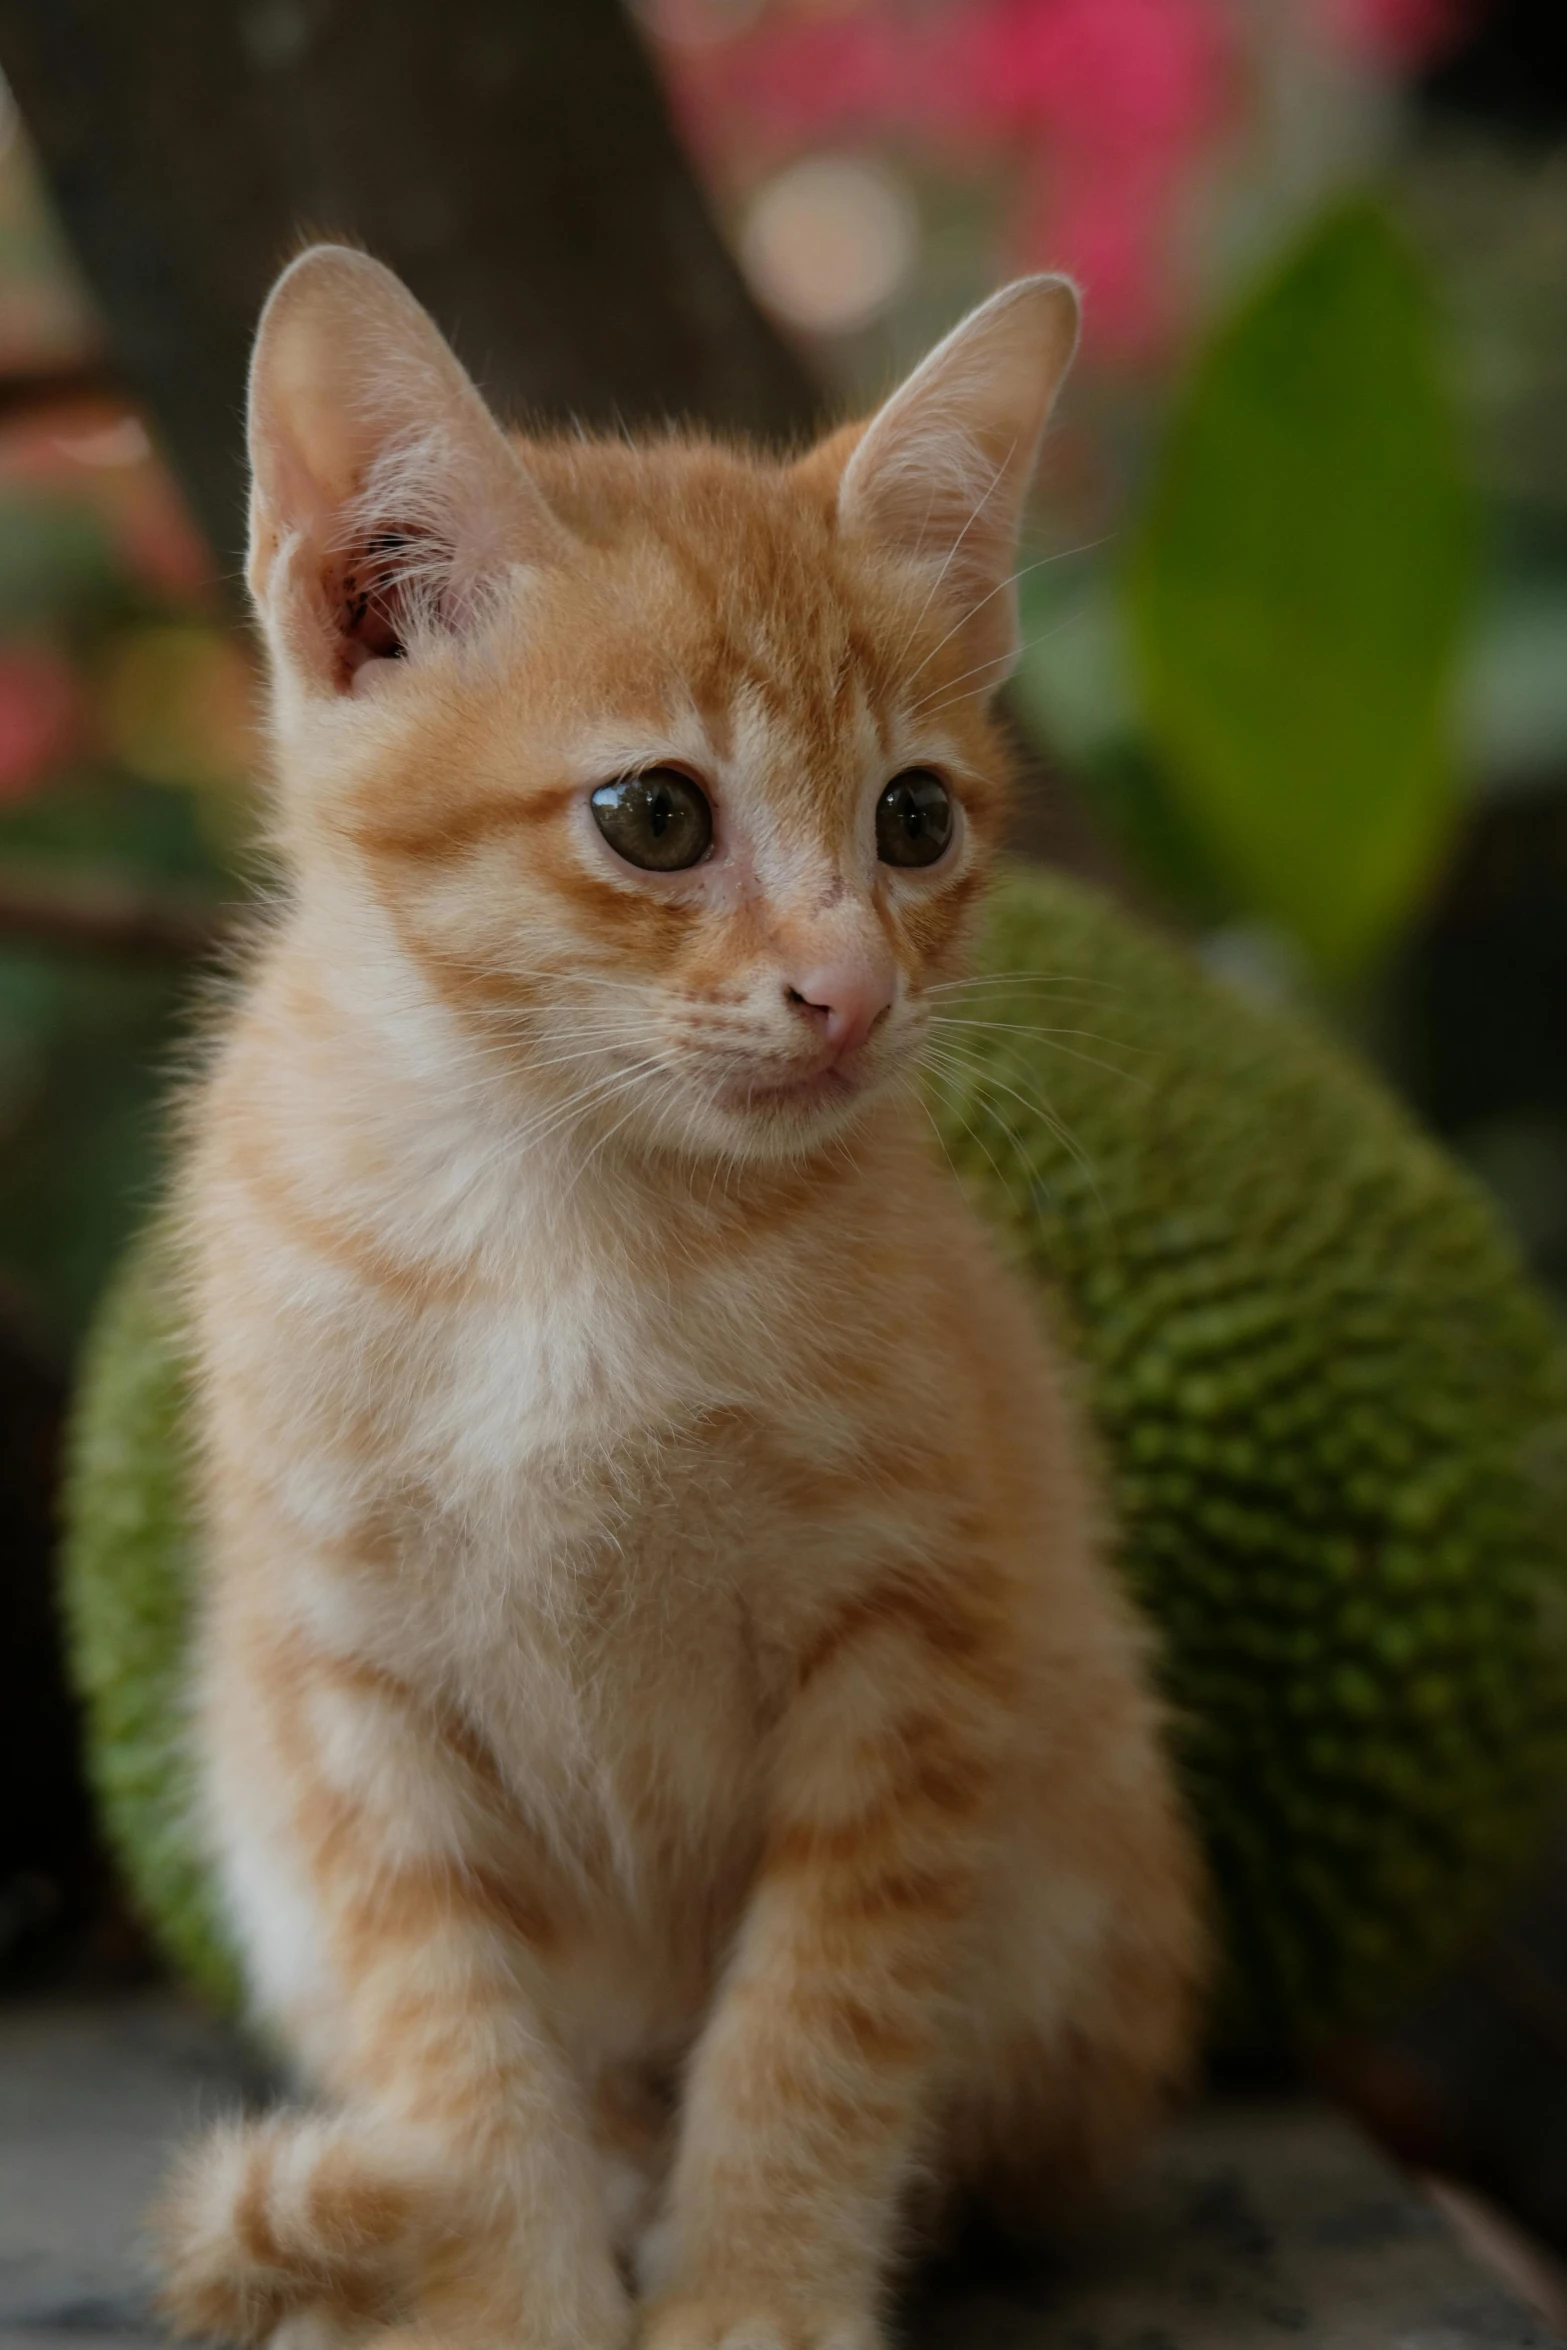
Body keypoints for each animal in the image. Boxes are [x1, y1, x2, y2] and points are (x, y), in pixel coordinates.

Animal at [159, 252, 1212, 2350]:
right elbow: (446, 2026)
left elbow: (819, 2017)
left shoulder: (916, 1647)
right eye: (654, 815)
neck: (562, 1222)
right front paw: (503, 2278)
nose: (851, 993)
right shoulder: (344, 1681)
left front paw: (755, 2285)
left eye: (912, 821)